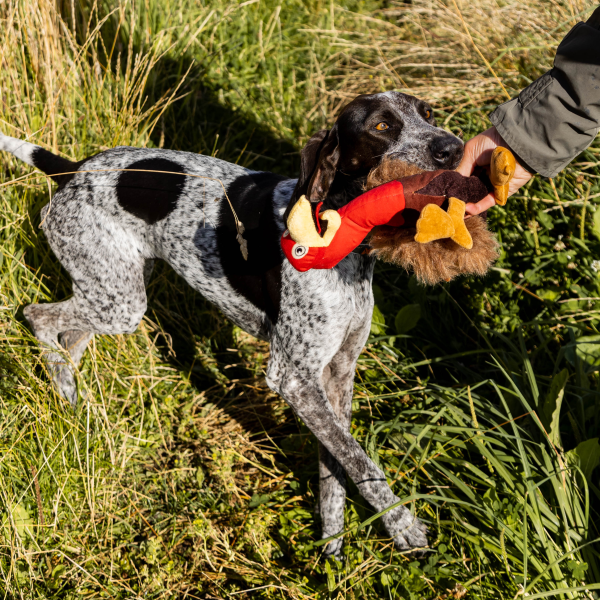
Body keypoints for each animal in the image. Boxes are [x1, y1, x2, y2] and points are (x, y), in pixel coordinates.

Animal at [0, 92, 464, 556]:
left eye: (428, 114)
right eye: (381, 127)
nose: (454, 148)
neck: (338, 231)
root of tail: (74, 168)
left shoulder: (337, 372)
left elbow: (334, 459)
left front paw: (332, 536)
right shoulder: (293, 377)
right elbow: (359, 460)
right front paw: (402, 524)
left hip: (113, 292)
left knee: (70, 337)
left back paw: (73, 406)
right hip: (120, 303)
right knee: (37, 316)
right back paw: (63, 390)